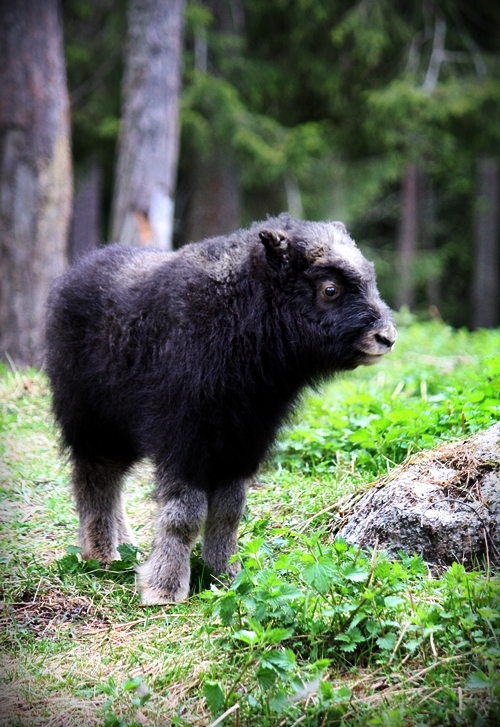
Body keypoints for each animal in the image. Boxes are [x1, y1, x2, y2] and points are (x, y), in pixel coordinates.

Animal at [45, 215, 396, 604]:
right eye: (330, 289)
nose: (387, 337)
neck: (240, 316)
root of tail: (77, 273)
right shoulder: (185, 442)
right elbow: (186, 514)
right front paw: (164, 588)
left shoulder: (243, 442)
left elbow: (229, 511)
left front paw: (227, 577)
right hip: (93, 425)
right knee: (95, 481)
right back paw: (102, 555)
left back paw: (124, 548)